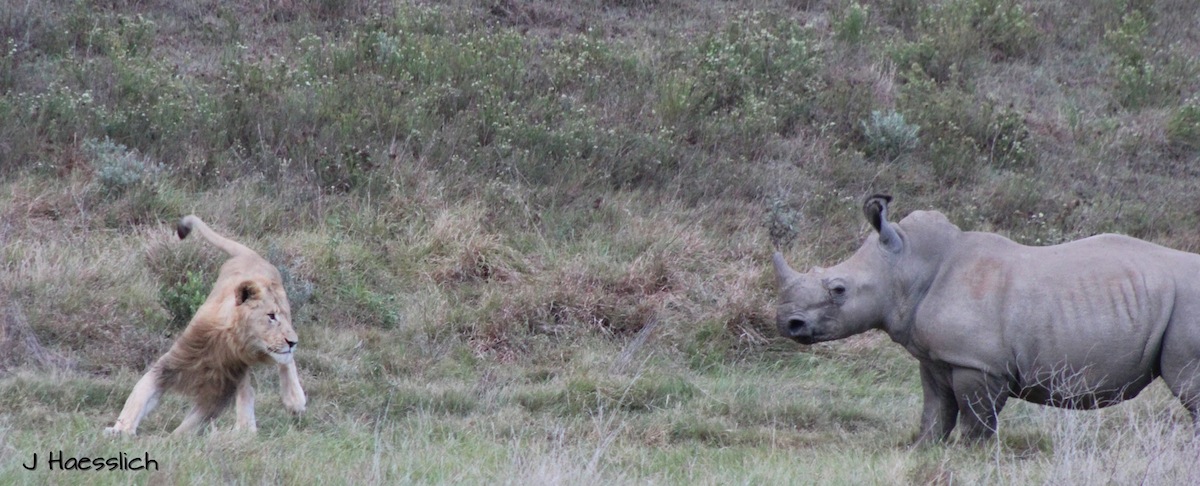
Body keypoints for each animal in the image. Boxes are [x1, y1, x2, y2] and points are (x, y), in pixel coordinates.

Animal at [103, 216, 307, 434]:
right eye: (271, 316)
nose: (293, 342)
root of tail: (251, 256)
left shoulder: (220, 390)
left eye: (281, 316)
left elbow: (192, 422)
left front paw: (174, 437)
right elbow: (139, 395)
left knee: (283, 364)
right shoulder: (172, 365)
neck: (228, 341)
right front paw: (120, 430)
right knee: (250, 389)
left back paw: (293, 399)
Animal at [772, 194, 1200, 444]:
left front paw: (971, 455)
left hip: (1187, 307)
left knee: (1187, 384)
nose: (787, 323)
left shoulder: (978, 363)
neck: (909, 267)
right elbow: (936, 411)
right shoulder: (938, 358)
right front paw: (925, 451)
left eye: (838, 289)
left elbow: (976, 419)